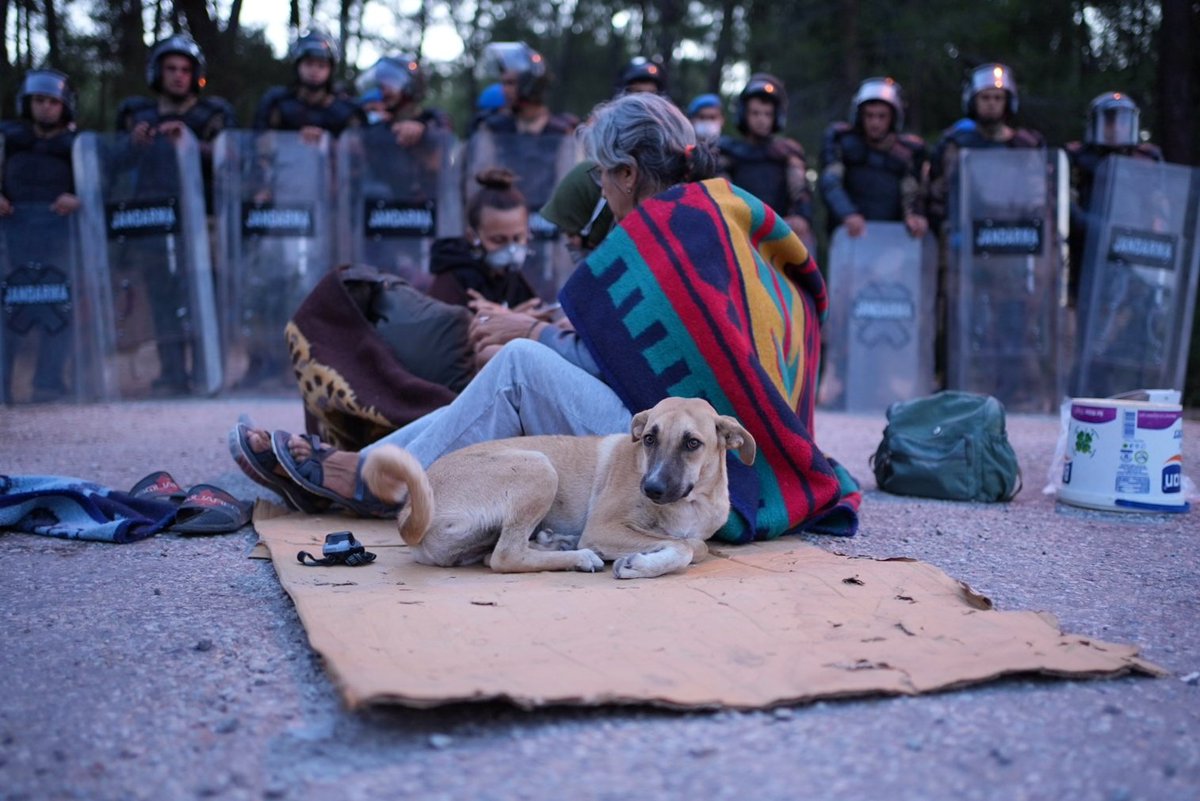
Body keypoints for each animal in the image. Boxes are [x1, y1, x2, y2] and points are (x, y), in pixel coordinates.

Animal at [360, 398, 753, 577]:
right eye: (649, 439)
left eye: (692, 443)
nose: (652, 489)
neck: (693, 501)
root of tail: (410, 513)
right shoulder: (603, 528)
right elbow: (690, 546)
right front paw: (642, 564)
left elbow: (694, 542)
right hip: (539, 467)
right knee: (505, 556)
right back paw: (579, 556)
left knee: (493, 553)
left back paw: (557, 543)